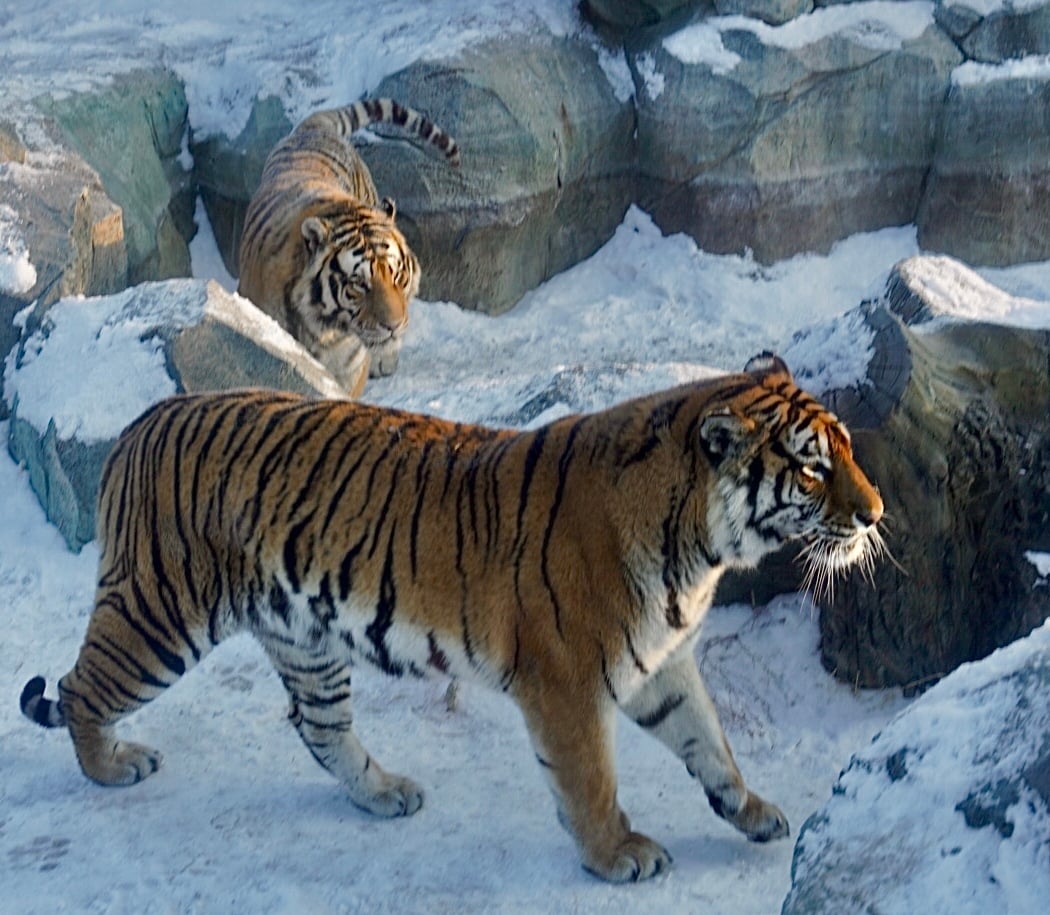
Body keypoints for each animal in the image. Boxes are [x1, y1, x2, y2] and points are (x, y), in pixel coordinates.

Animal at [20, 353, 884, 883]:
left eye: (846, 449)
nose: (876, 513)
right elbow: (592, 777)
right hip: (160, 614)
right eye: (813, 467)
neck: (699, 549)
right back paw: (111, 765)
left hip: (303, 634)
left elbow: (711, 743)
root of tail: (141, 420)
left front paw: (752, 810)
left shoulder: (660, 662)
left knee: (318, 726)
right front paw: (616, 854)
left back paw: (383, 792)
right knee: (80, 685)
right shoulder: (567, 680)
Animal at [236, 98, 459, 397]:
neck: (325, 335)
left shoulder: (349, 368)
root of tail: (313, 127)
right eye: (358, 284)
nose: (393, 326)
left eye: (397, 276)